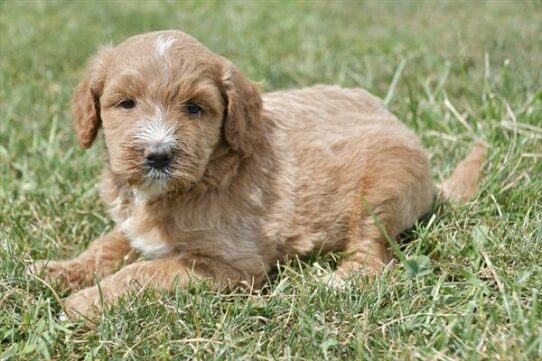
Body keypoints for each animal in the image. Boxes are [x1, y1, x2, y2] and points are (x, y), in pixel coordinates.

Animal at [30, 29, 488, 320]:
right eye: (126, 103)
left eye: (195, 108)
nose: (158, 155)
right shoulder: (134, 224)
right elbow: (107, 245)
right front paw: (61, 272)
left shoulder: (231, 266)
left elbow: (143, 272)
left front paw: (85, 303)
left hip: (382, 190)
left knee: (372, 255)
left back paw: (336, 281)